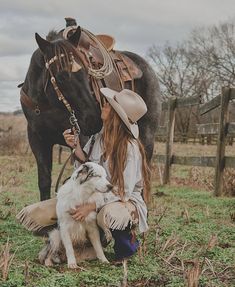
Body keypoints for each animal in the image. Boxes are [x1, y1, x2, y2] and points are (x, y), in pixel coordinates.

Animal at [20, 24, 162, 201]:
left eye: (87, 73)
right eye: (61, 77)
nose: (94, 120)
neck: (48, 105)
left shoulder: (83, 139)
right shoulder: (38, 140)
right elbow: (44, 181)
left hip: (147, 137)